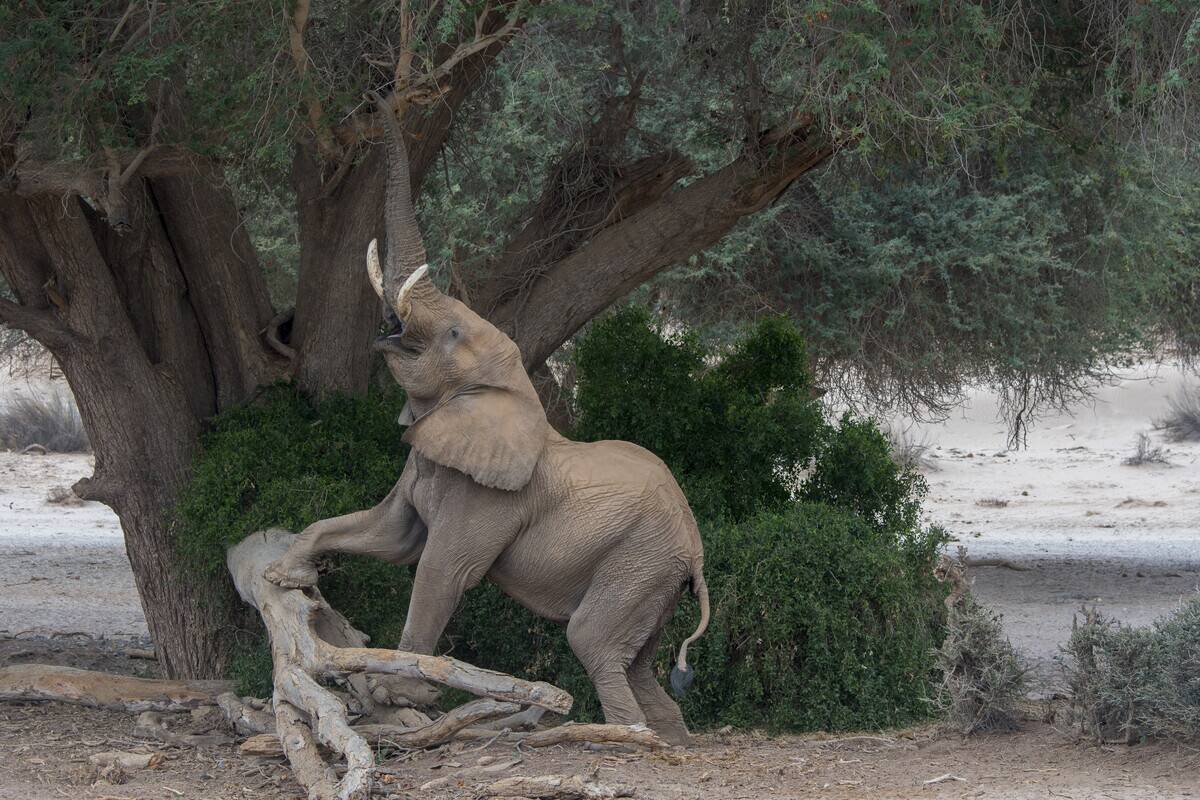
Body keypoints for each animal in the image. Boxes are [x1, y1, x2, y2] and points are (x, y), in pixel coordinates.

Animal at [263, 93, 709, 745]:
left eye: (451, 333)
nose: (378, 100)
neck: (506, 388)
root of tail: (697, 552)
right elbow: (388, 534)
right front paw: (283, 575)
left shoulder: (487, 498)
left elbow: (440, 569)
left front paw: (396, 694)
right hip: (654, 577)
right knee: (638, 661)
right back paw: (669, 739)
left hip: (639, 560)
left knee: (595, 643)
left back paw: (621, 735)